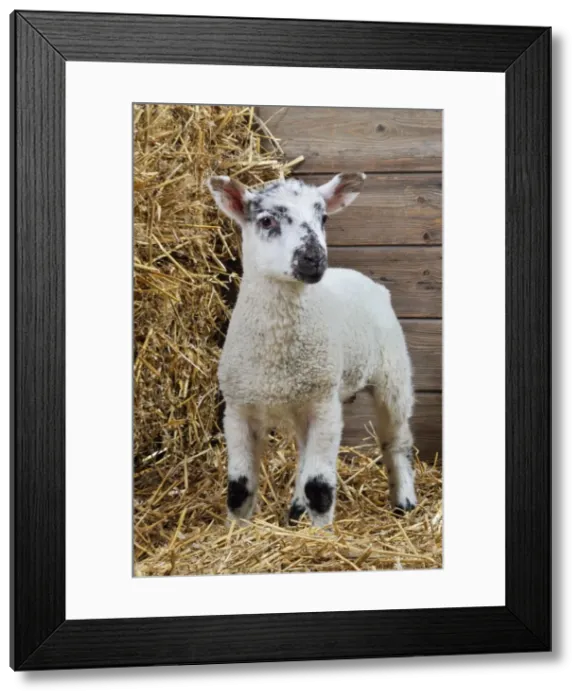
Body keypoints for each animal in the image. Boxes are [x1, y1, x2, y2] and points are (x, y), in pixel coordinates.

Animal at [207, 172, 417, 527]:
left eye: (324, 218)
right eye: (267, 220)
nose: (314, 258)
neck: (276, 353)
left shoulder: (324, 405)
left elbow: (319, 487)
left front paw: (320, 533)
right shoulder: (237, 408)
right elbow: (238, 488)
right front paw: (235, 532)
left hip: (392, 373)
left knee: (396, 440)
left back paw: (404, 502)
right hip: (303, 398)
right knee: (305, 451)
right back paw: (295, 511)